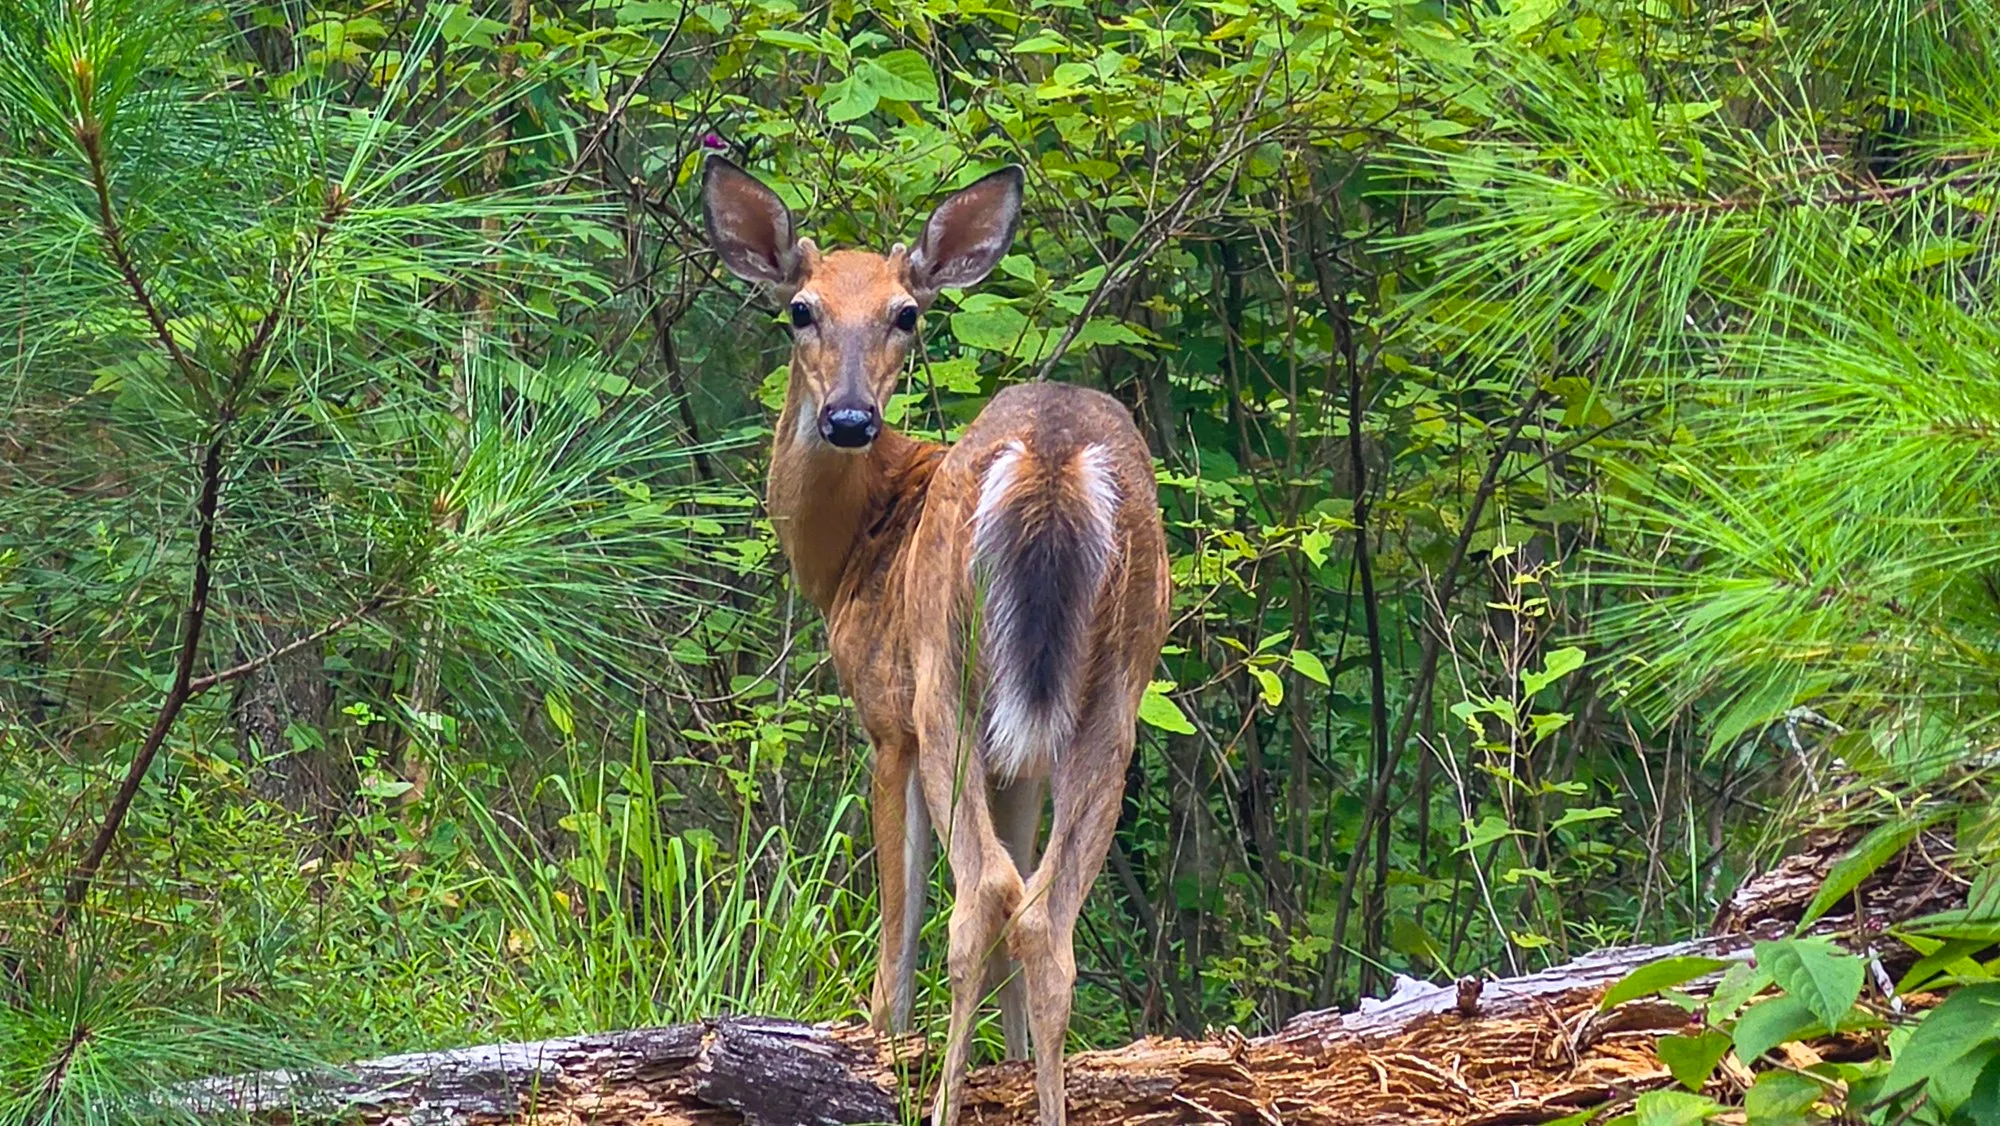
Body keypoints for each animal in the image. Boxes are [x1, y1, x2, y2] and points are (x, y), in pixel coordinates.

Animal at [701, 154, 1171, 1126]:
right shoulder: (1021, 758)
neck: (853, 549)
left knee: (981, 894)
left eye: (905, 314)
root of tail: (1054, 459)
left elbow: (899, 921)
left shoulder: (889, 721)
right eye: (801, 309)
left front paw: (881, 1049)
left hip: (948, 669)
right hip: (1113, 687)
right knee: (1043, 917)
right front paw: (1015, 1070)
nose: (848, 419)